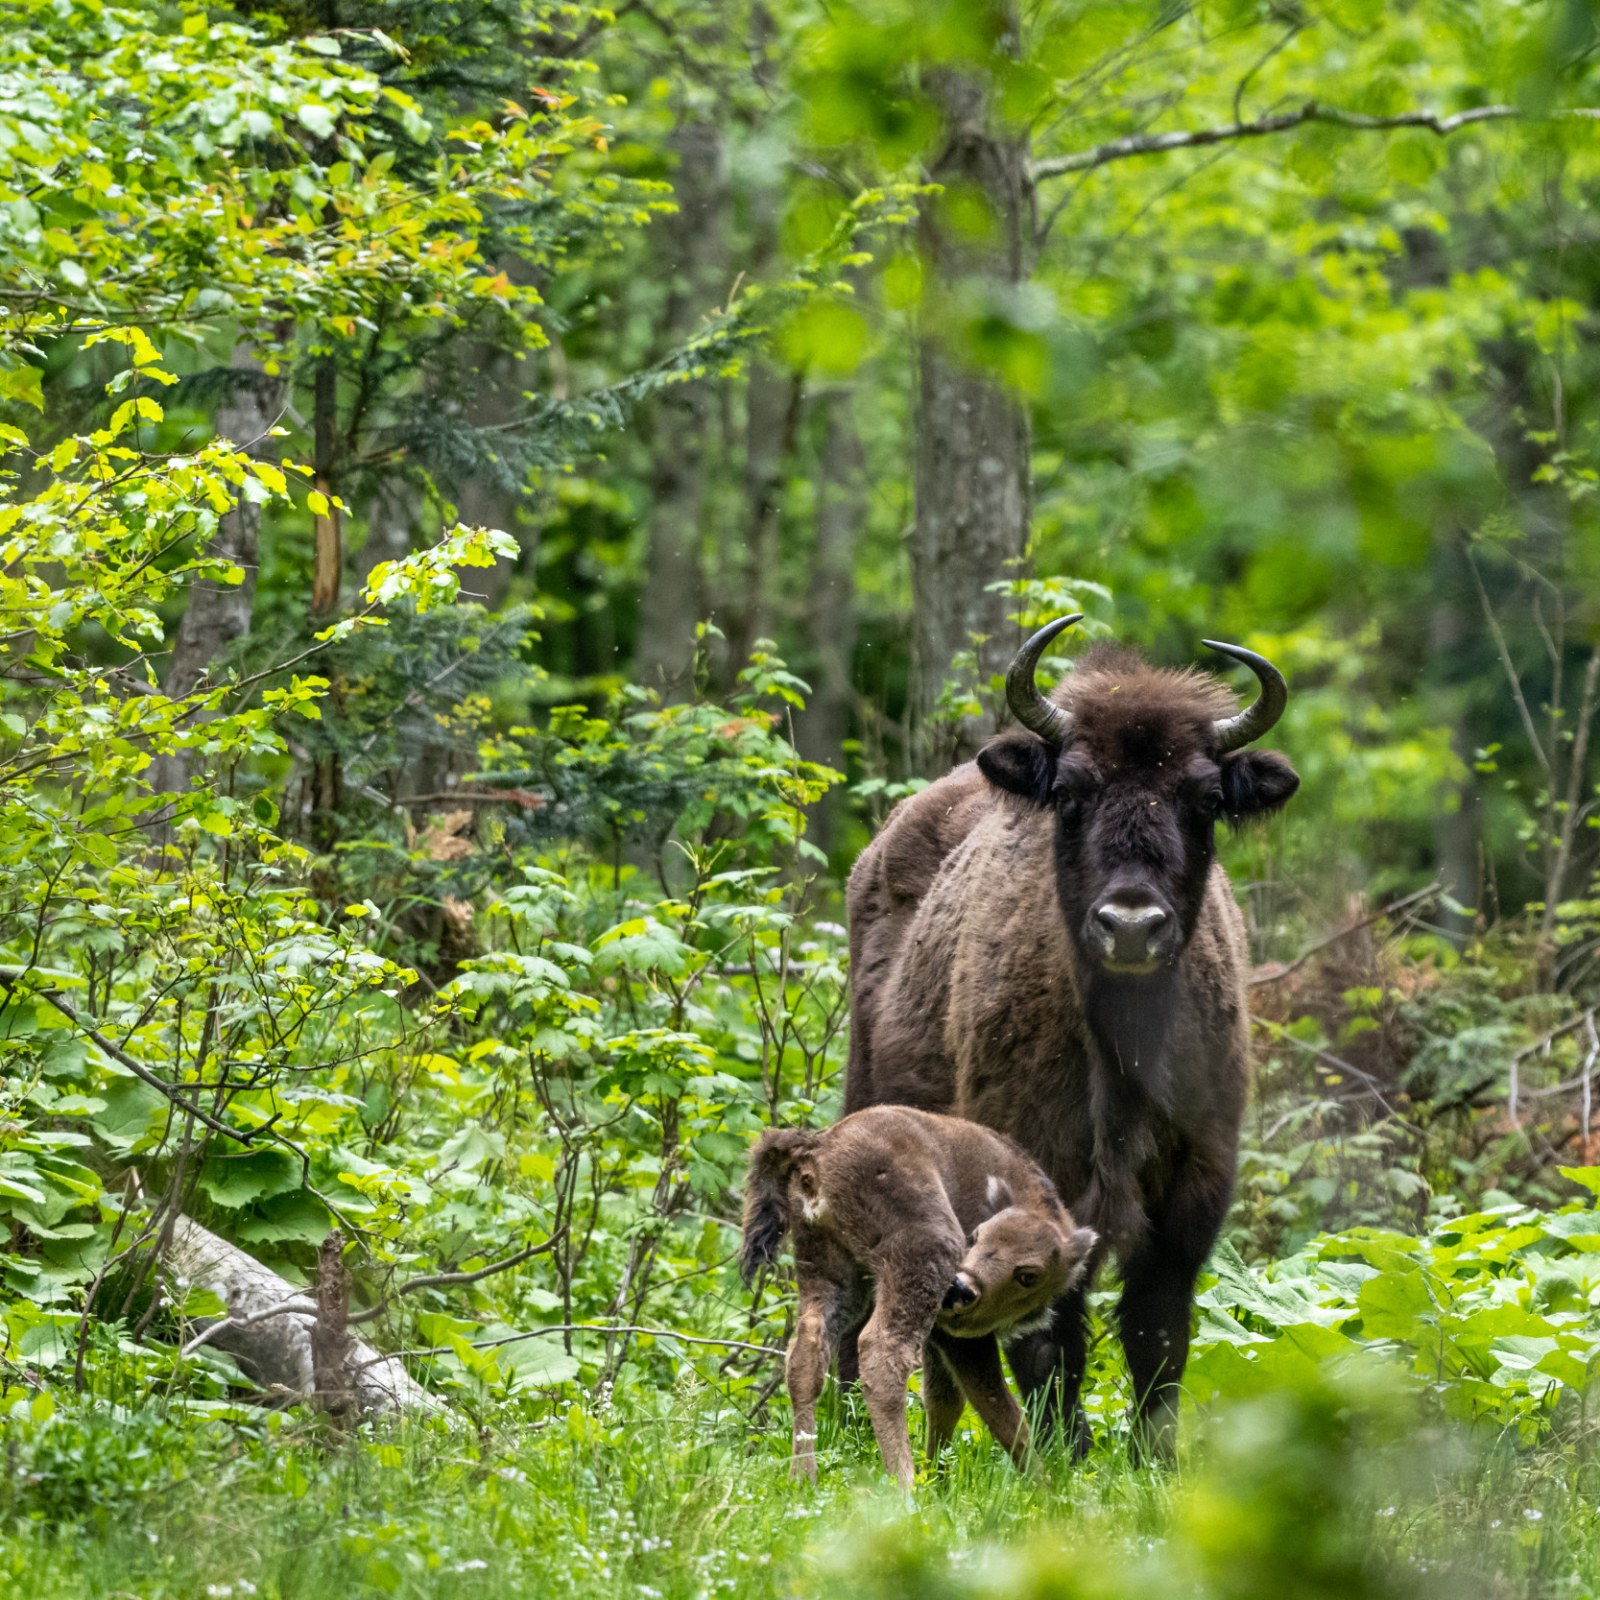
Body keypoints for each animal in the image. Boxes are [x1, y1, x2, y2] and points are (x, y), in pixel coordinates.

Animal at [843, 615, 1299, 1458]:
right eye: (1069, 790)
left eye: (1205, 795)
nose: (1132, 924)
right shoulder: (1040, 1174)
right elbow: (1047, 1332)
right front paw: (1065, 1450)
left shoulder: (1195, 1188)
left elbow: (1158, 1329)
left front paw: (1153, 1456)